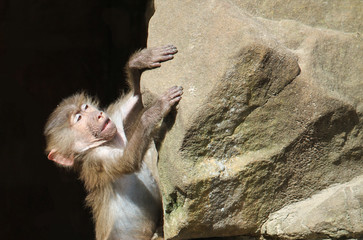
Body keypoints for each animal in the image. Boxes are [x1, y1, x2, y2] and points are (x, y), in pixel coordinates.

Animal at [44, 45, 183, 240]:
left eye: (85, 108)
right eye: (79, 118)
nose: (99, 115)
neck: (108, 143)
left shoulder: (115, 122)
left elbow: (135, 99)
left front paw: (139, 62)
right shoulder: (96, 159)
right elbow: (128, 161)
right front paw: (155, 110)